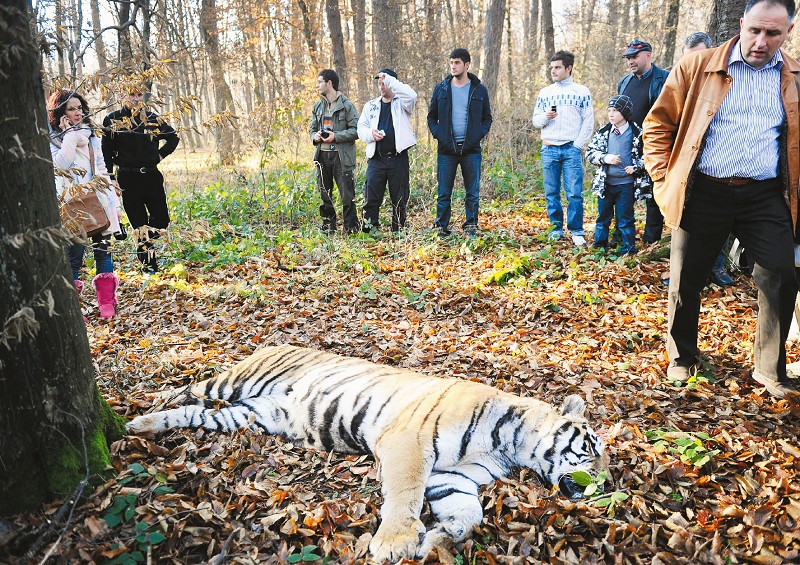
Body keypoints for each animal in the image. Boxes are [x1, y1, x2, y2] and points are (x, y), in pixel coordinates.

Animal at [130, 344, 608, 560]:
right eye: (590, 448)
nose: (605, 483)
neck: (510, 446)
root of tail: (275, 340)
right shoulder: (410, 442)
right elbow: (405, 495)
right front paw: (395, 543)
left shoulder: (452, 477)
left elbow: (469, 514)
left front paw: (436, 539)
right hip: (233, 381)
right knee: (192, 387)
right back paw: (146, 403)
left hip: (251, 416)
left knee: (193, 412)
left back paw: (143, 425)